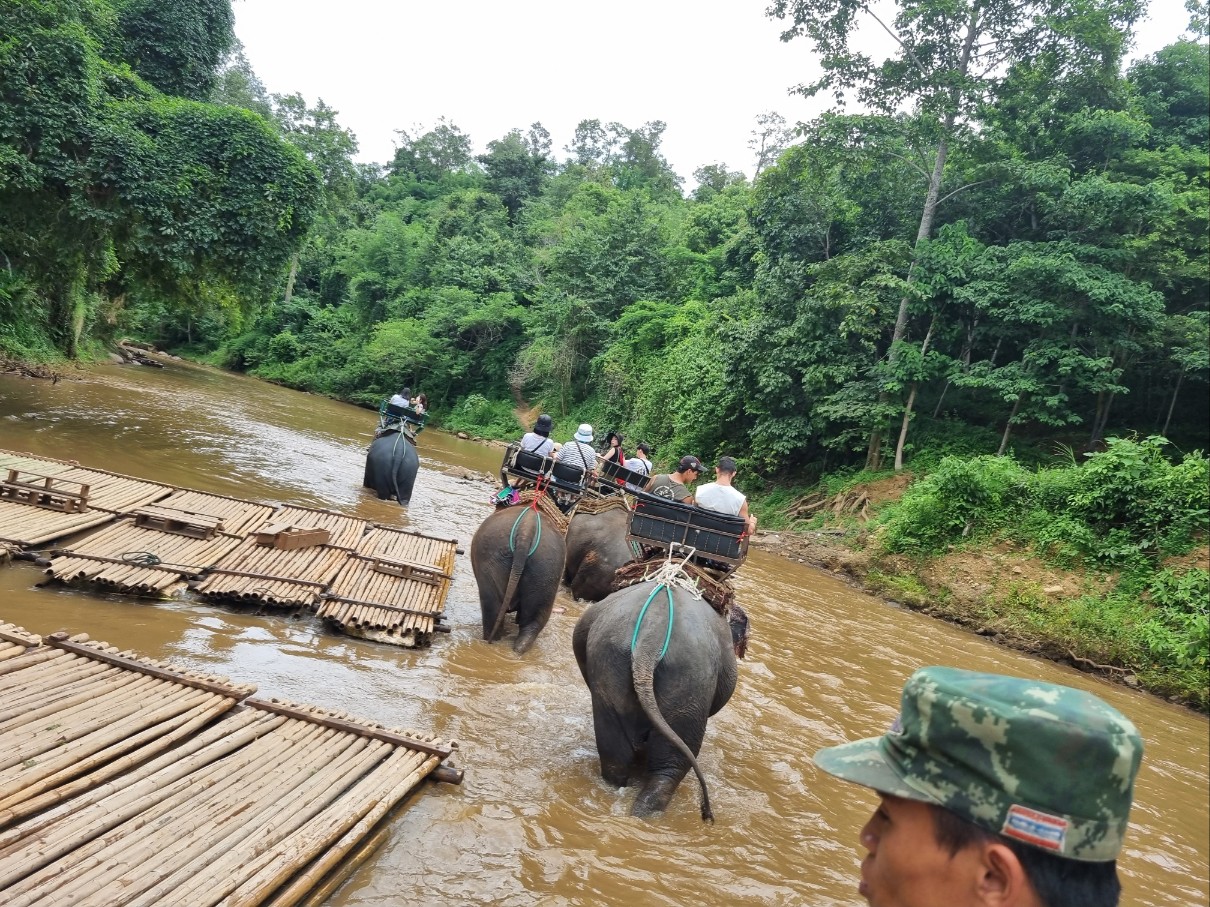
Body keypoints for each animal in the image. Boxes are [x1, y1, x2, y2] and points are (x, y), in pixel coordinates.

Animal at [573, 582, 750, 822]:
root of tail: (650, 641)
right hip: (689, 686)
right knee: (669, 770)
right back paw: (645, 815)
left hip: (608, 670)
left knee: (614, 757)